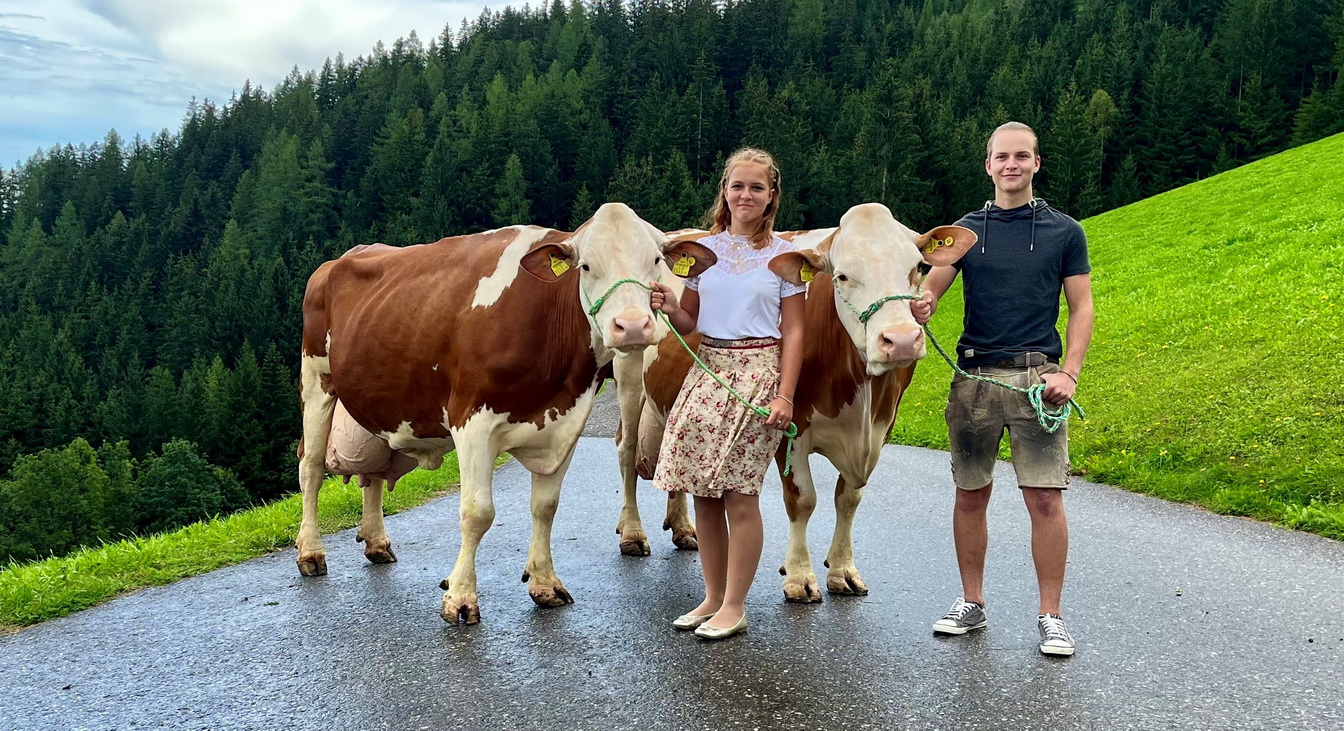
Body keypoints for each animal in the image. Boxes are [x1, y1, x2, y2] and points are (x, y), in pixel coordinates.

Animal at [294, 204, 715, 623]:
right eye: (586, 266)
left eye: (656, 260)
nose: (632, 326)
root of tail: (342, 258)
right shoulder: (471, 420)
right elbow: (478, 512)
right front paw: (460, 597)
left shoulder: (565, 422)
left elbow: (545, 507)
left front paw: (545, 583)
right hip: (316, 379)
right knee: (311, 466)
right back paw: (310, 551)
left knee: (374, 473)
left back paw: (376, 542)